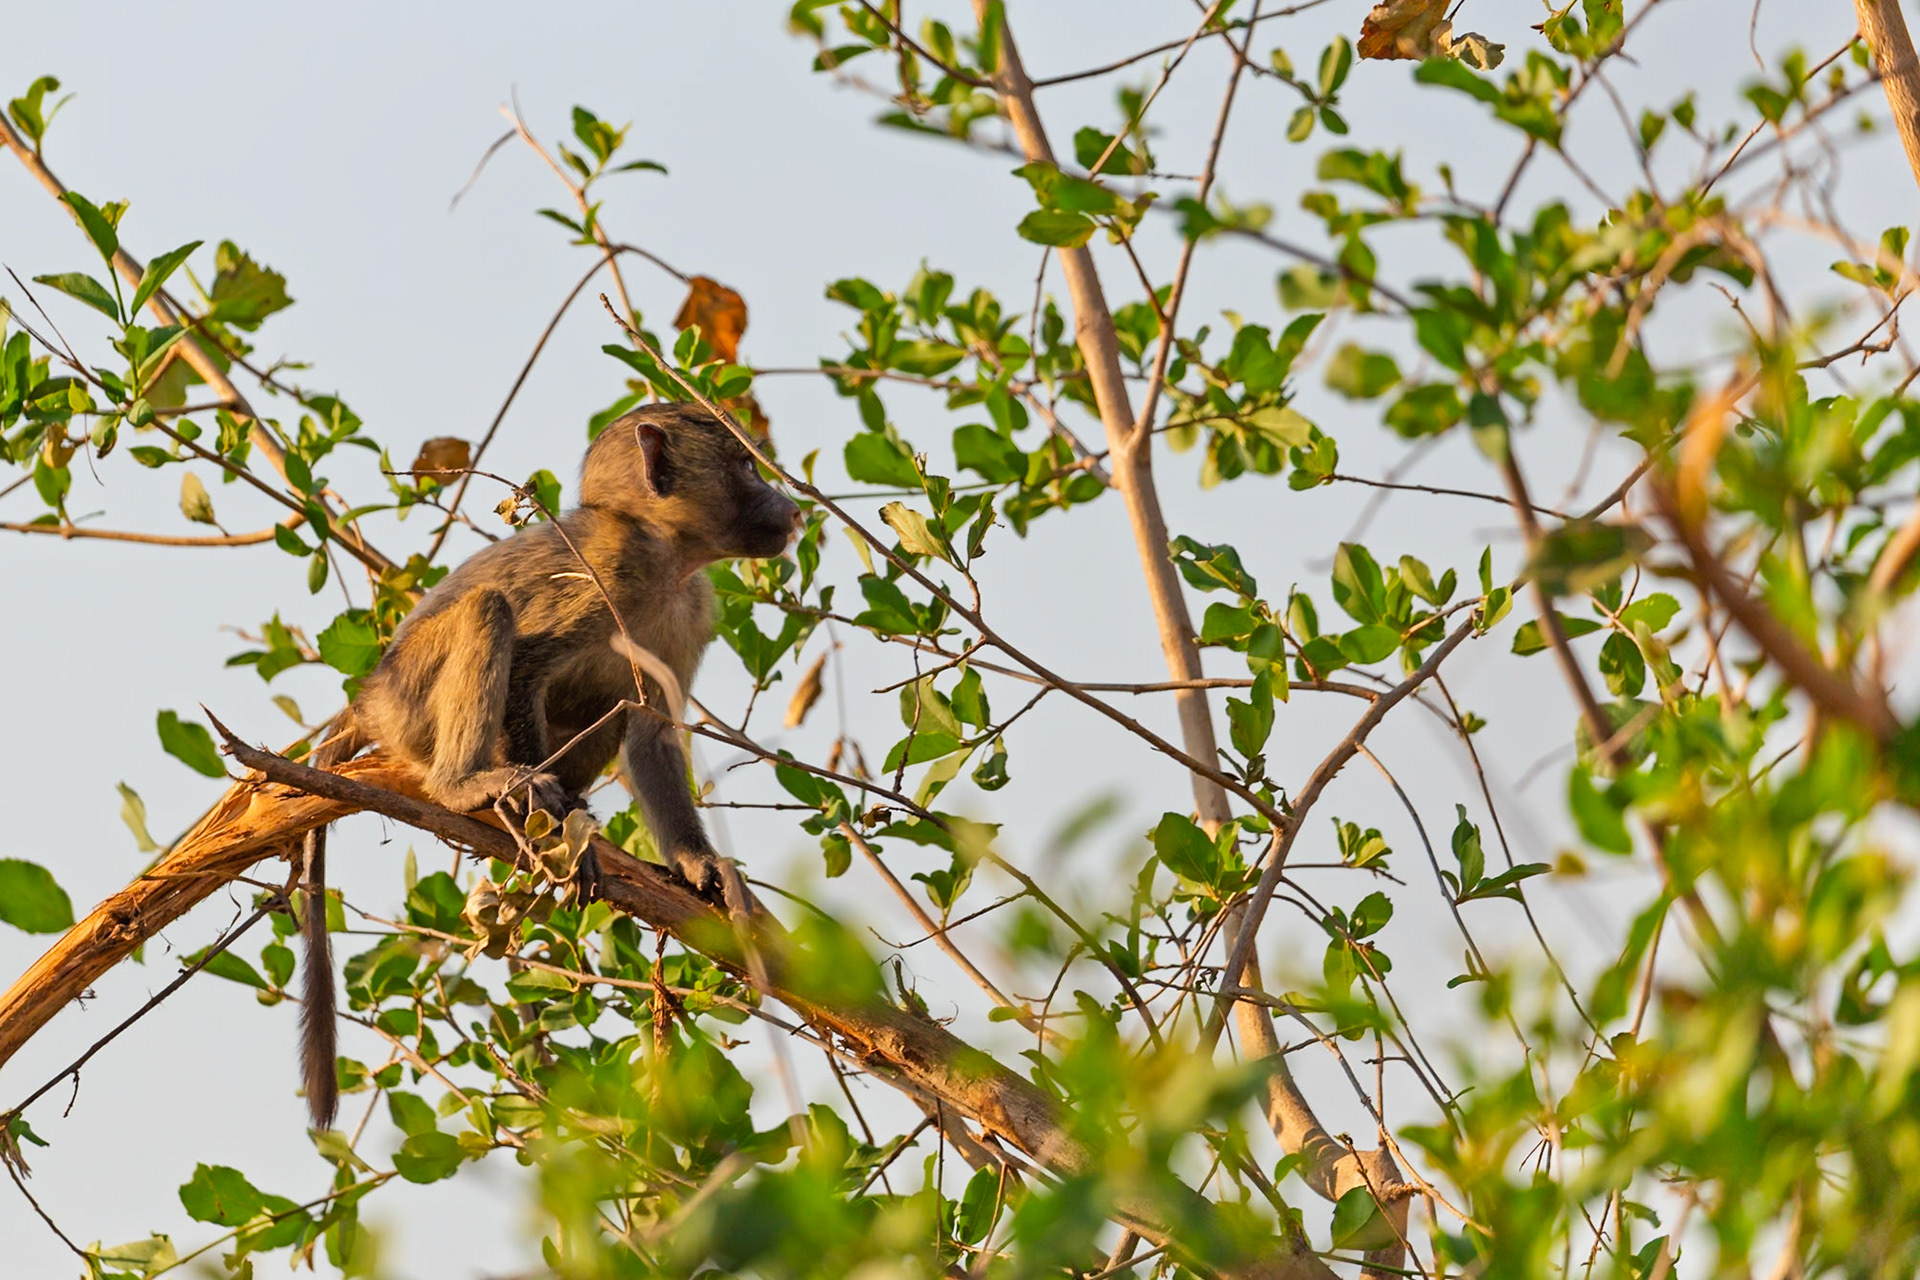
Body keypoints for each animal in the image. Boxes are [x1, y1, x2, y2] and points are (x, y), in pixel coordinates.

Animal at [293, 402, 801, 1128]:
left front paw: (697, 866)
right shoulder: (602, 577)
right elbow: (528, 668)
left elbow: (651, 736)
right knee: (489, 611)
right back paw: (470, 788)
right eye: (744, 466)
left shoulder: (693, 610)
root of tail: (369, 700)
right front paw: (552, 824)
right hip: (410, 700)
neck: (665, 553)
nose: (791, 509)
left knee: (609, 708)